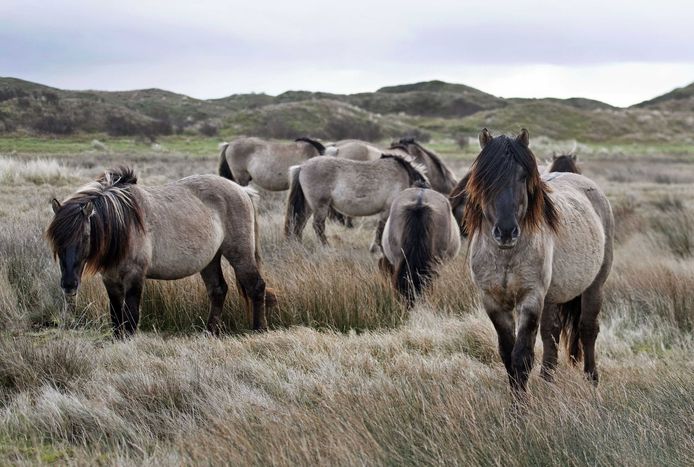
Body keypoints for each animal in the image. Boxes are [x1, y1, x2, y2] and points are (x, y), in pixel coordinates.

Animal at [45, 166, 274, 338]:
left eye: (85, 236)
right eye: (56, 241)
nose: (69, 285)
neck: (124, 223)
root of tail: (242, 191)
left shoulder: (135, 277)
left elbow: (130, 318)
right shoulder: (110, 279)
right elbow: (116, 317)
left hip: (240, 254)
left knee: (256, 286)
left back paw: (259, 329)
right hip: (210, 259)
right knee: (217, 290)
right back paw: (210, 333)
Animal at [284, 154, 430, 250]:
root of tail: (302, 166)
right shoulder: (387, 210)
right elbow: (381, 229)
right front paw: (377, 248)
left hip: (309, 206)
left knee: (299, 222)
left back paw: (298, 244)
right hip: (320, 206)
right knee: (317, 226)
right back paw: (326, 246)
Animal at [464, 129, 616, 398]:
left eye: (523, 176)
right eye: (485, 178)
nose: (506, 232)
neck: (506, 255)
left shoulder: (531, 298)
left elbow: (522, 357)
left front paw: (521, 407)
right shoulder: (493, 302)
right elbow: (507, 355)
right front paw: (516, 402)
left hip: (593, 287)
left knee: (588, 330)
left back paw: (592, 380)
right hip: (552, 296)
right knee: (551, 333)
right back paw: (547, 380)